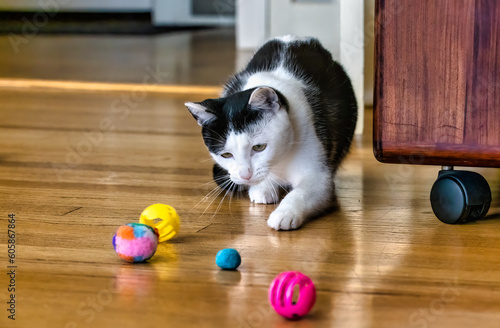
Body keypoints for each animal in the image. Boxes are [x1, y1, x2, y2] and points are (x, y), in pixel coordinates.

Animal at [186, 36, 358, 231]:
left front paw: (285, 213)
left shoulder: (318, 175)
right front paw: (263, 188)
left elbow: (304, 192)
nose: (245, 175)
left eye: (259, 147)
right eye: (226, 155)